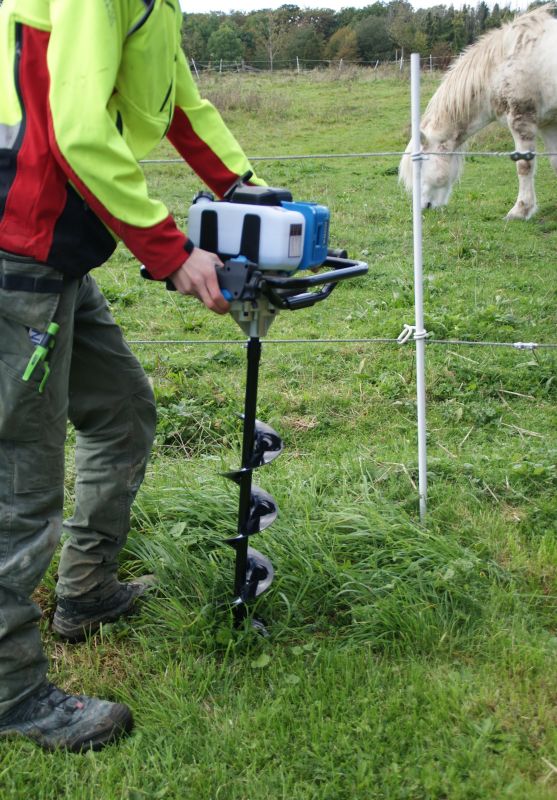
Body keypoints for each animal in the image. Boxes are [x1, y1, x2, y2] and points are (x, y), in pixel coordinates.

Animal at [400, 7, 557, 219]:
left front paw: (520, 210)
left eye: (420, 165)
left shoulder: (521, 119)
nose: (424, 206)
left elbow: (524, 165)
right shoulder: (548, 124)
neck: (500, 64)